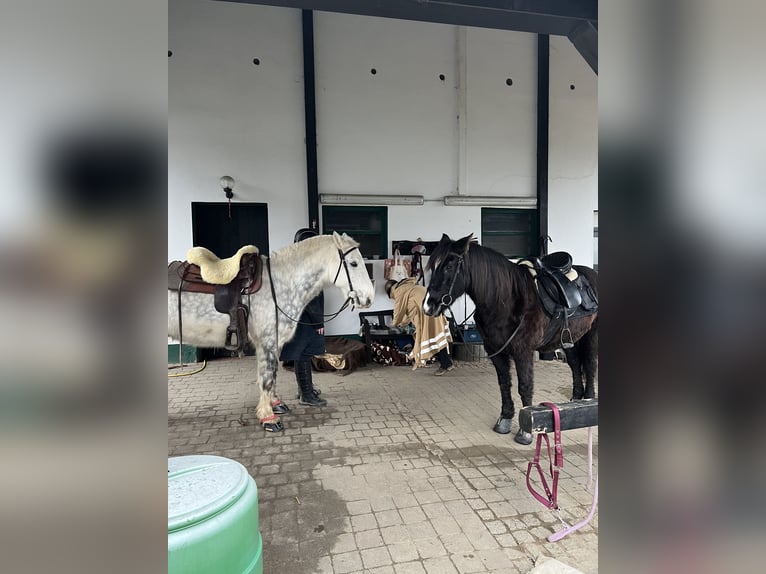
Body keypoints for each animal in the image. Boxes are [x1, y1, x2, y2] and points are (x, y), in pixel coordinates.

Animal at [426, 234, 600, 446]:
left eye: (449, 265)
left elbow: (524, 385)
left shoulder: (523, 352)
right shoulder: (496, 352)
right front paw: (505, 420)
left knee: (590, 365)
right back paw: (575, 401)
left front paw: (525, 433)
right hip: (569, 339)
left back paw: (587, 401)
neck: (507, 298)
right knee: (575, 364)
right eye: (433, 267)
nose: (429, 305)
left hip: (591, 335)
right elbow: (504, 384)